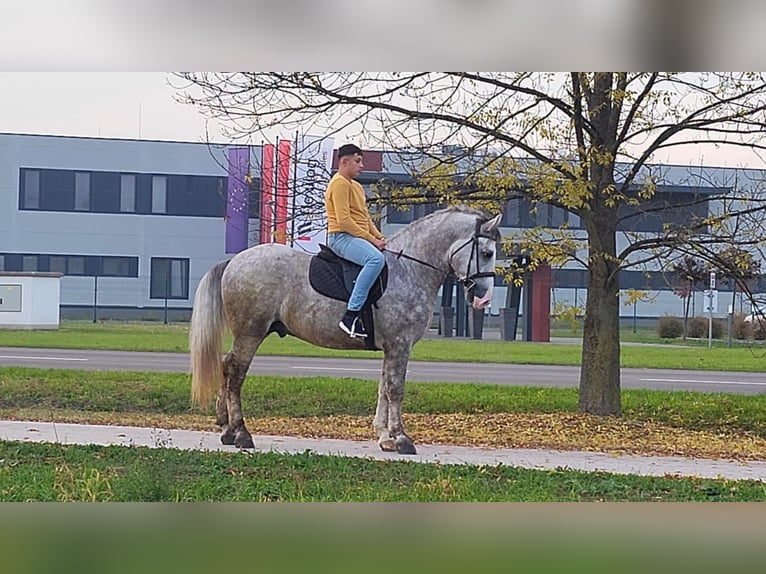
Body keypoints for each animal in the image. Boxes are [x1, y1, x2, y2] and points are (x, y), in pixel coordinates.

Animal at [190, 206, 504, 454]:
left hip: (249, 333)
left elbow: (383, 388)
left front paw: (385, 438)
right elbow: (395, 390)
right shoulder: (400, 344)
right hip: (251, 333)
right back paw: (241, 433)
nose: (483, 297)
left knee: (226, 366)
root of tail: (235, 260)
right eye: (487, 252)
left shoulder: (391, 348)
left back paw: (227, 429)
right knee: (236, 373)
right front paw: (402, 439)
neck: (409, 269)